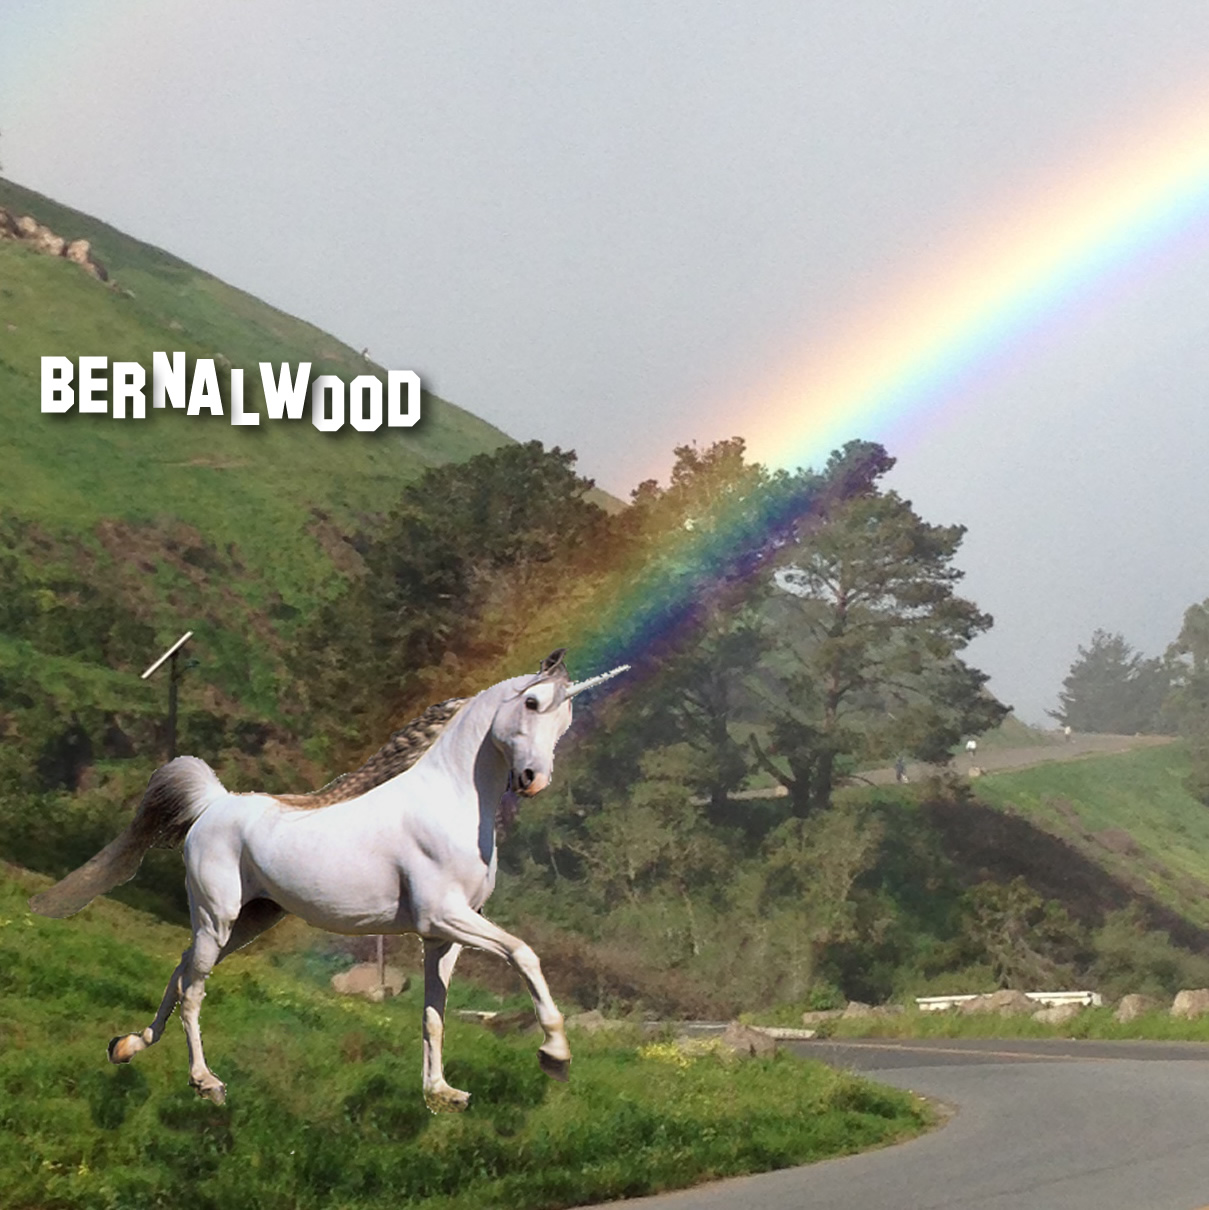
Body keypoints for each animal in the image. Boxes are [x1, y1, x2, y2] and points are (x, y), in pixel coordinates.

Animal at [29, 649, 628, 1112]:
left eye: (564, 721)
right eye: (531, 703)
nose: (533, 780)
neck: (449, 804)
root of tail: (215, 803)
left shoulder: (442, 937)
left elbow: (434, 1014)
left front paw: (441, 1093)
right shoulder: (446, 916)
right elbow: (525, 955)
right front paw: (555, 1055)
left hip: (248, 921)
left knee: (180, 972)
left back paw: (128, 1046)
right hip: (218, 918)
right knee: (194, 989)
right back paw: (206, 1084)